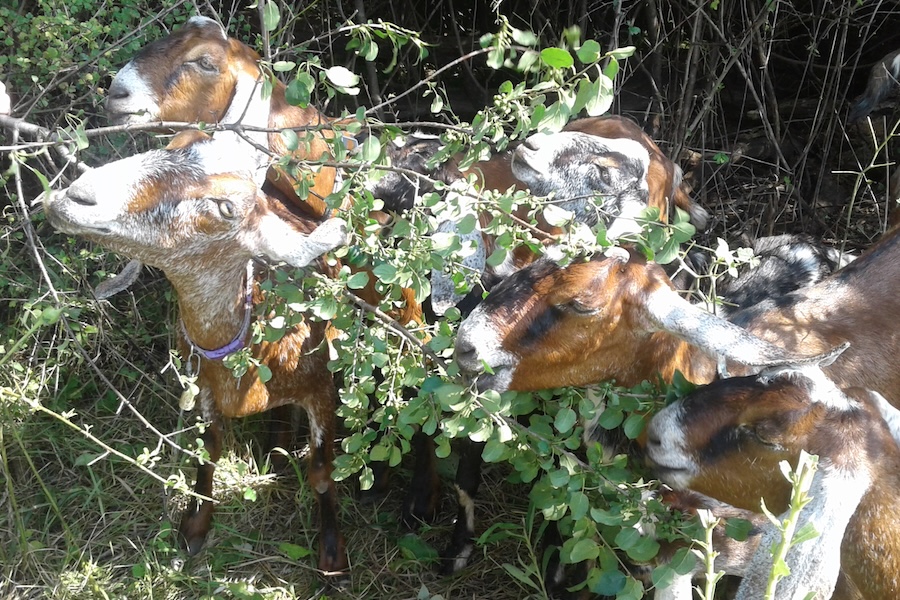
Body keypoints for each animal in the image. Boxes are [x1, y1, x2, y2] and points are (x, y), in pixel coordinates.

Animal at [42, 137, 351, 574]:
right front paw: (193, 526)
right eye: (169, 146)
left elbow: (323, 474)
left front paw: (332, 555)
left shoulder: (322, 387)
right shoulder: (203, 386)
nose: (76, 195)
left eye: (225, 208)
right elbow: (207, 454)